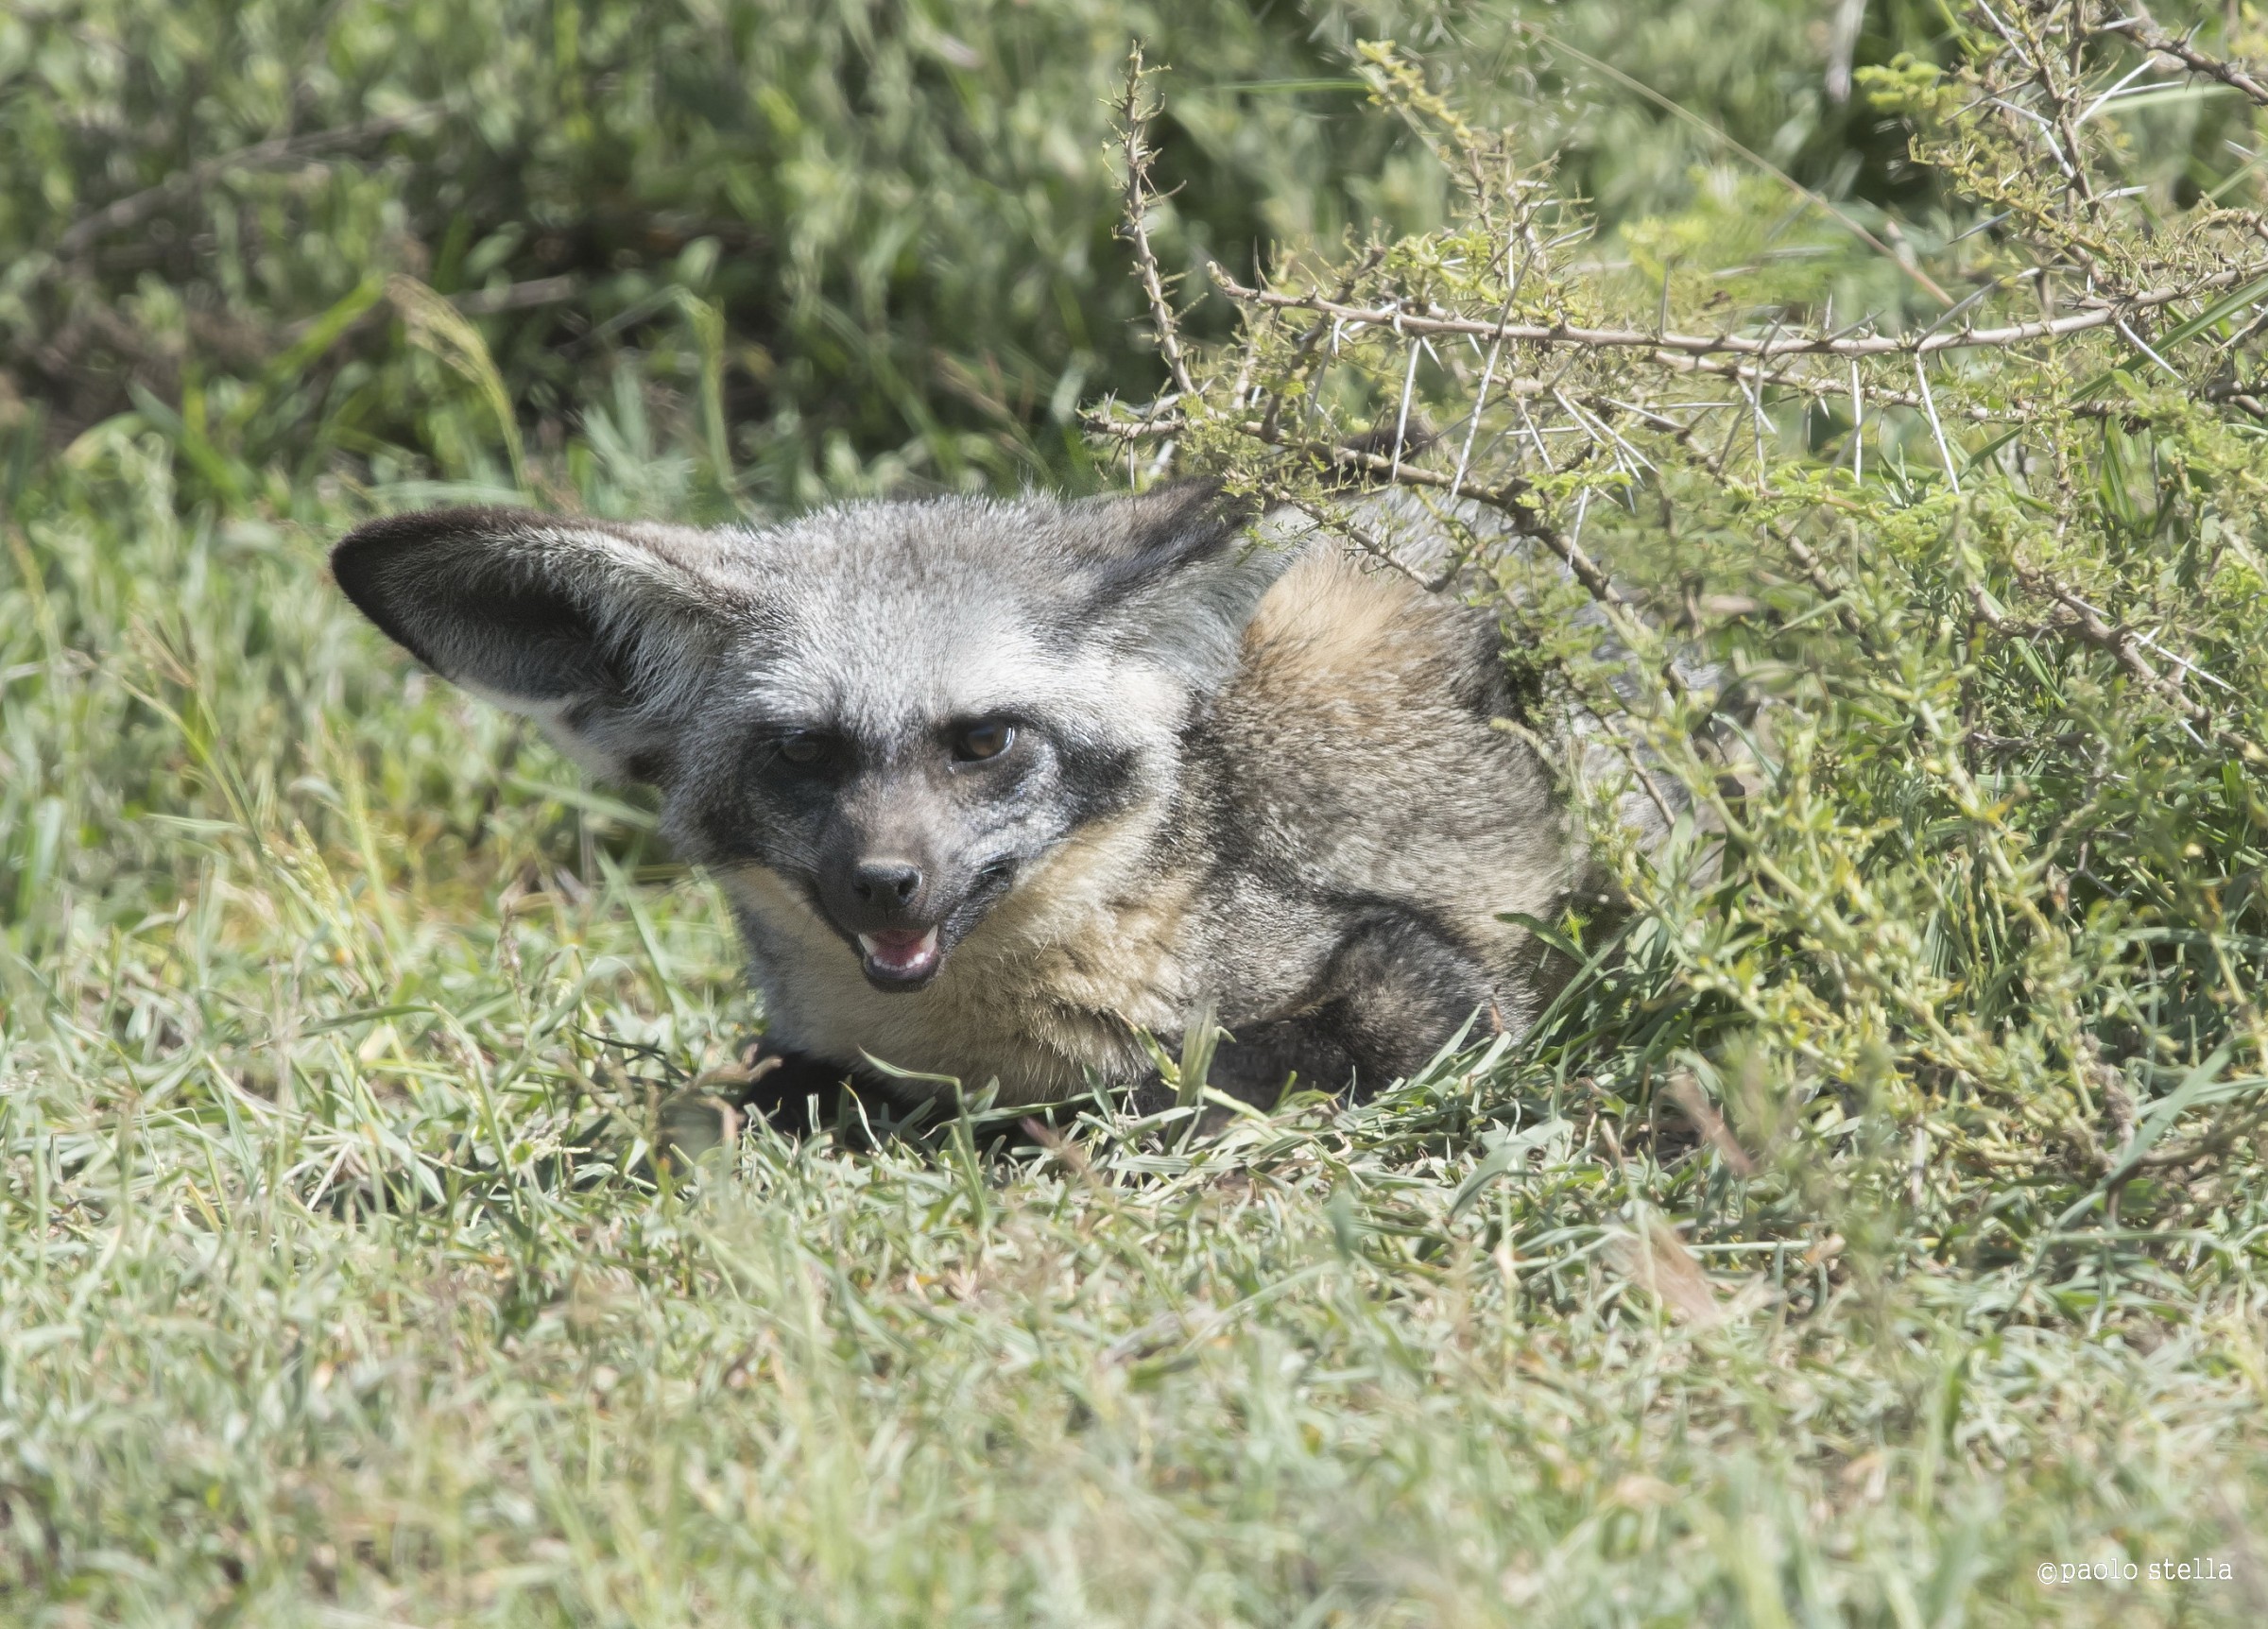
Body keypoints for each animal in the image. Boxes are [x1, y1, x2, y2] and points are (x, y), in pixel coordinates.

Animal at [330, 482, 1618, 1118]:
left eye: (982, 740)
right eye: (803, 751)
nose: (885, 883)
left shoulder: (1438, 993)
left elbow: (1188, 1086)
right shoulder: (812, 1047)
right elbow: (748, 1090)